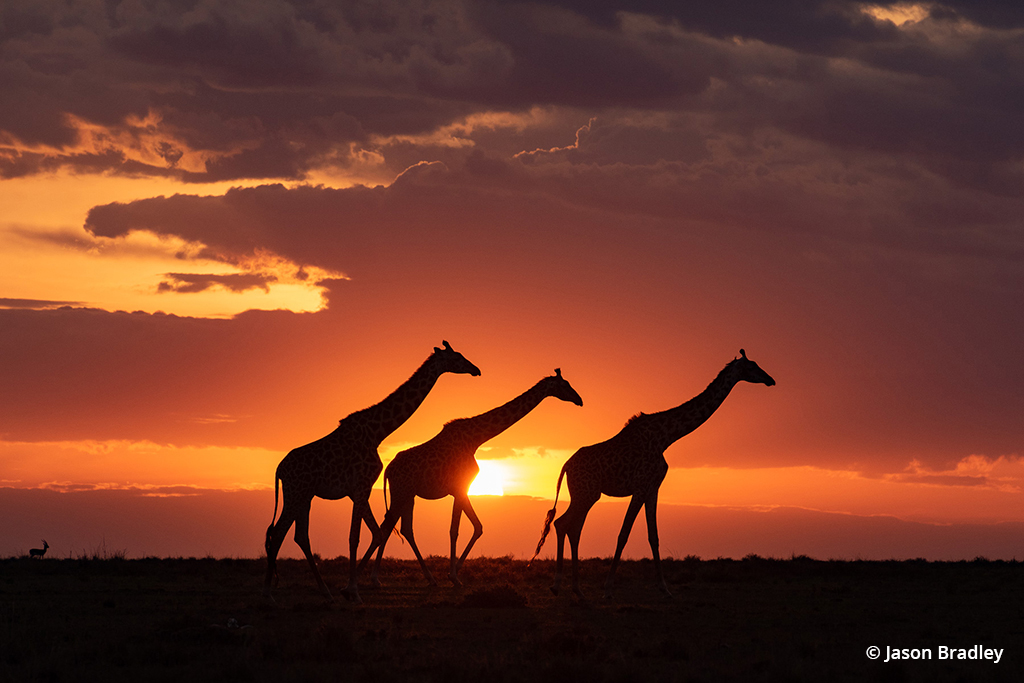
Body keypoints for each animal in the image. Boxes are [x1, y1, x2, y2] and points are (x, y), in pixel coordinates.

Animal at [264, 342, 479, 602]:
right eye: (457, 357)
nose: (476, 369)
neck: (377, 432)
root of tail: (280, 469)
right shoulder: (361, 486)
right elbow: (354, 537)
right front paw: (354, 591)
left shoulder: (360, 490)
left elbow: (376, 533)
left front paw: (353, 587)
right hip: (296, 493)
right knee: (278, 533)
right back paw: (268, 594)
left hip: (304, 496)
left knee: (298, 535)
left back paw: (324, 590)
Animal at [364, 368, 581, 589]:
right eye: (564, 385)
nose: (579, 400)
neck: (475, 439)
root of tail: (388, 470)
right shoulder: (460, 487)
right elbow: (454, 530)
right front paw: (454, 576)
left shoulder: (461, 489)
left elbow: (477, 527)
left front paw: (454, 572)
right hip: (401, 492)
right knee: (387, 526)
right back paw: (373, 577)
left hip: (409, 495)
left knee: (405, 529)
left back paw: (429, 578)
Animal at [532, 352, 770, 598]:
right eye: (752, 366)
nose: (770, 379)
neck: (666, 437)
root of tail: (566, 465)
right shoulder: (640, 487)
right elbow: (623, 534)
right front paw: (608, 588)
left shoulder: (653, 489)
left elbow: (653, 536)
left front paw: (665, 588)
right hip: (586, 494)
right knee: (564, 524)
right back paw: (559, 585)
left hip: (584, 494)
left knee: (571, 527)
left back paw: (574, 588)